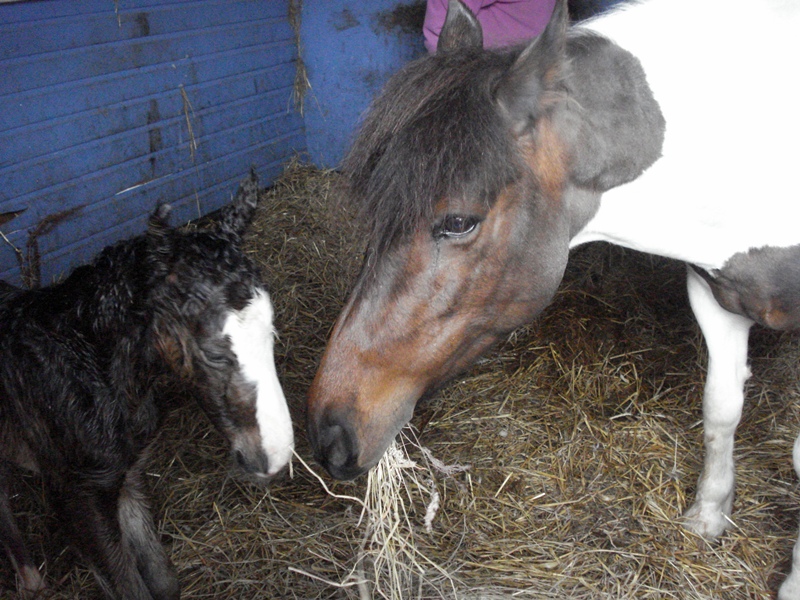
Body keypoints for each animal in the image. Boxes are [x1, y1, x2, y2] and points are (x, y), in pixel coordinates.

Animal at [0, 171, 294, 599]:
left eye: (271, 333)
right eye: (214, 354)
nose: (273, 458)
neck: (88, 372)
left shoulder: (128, 474)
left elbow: (163, 580)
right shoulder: (78, 496)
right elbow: (128, 586)